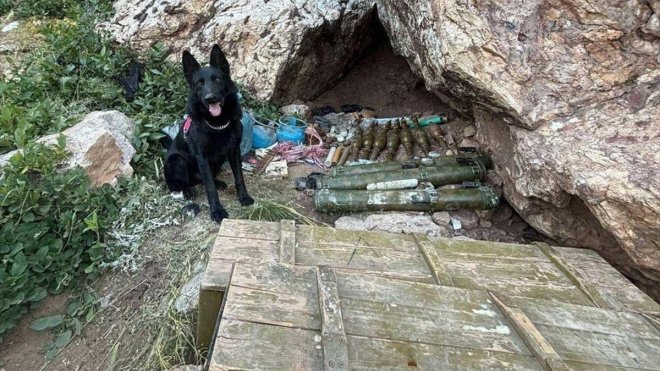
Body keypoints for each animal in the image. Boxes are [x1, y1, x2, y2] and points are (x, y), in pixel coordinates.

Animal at [164, 45, 254, 222]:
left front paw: (243, 197)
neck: (217, 124)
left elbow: (239, 177)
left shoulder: (234, 151)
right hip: (176, 160)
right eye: (199, 83)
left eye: (217, 79)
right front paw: (217, 211)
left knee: (203, 180)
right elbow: (210, 188)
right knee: (179, 185)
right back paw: (186, 191)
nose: (210, 98)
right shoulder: (202, 157)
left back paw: (218, 182)